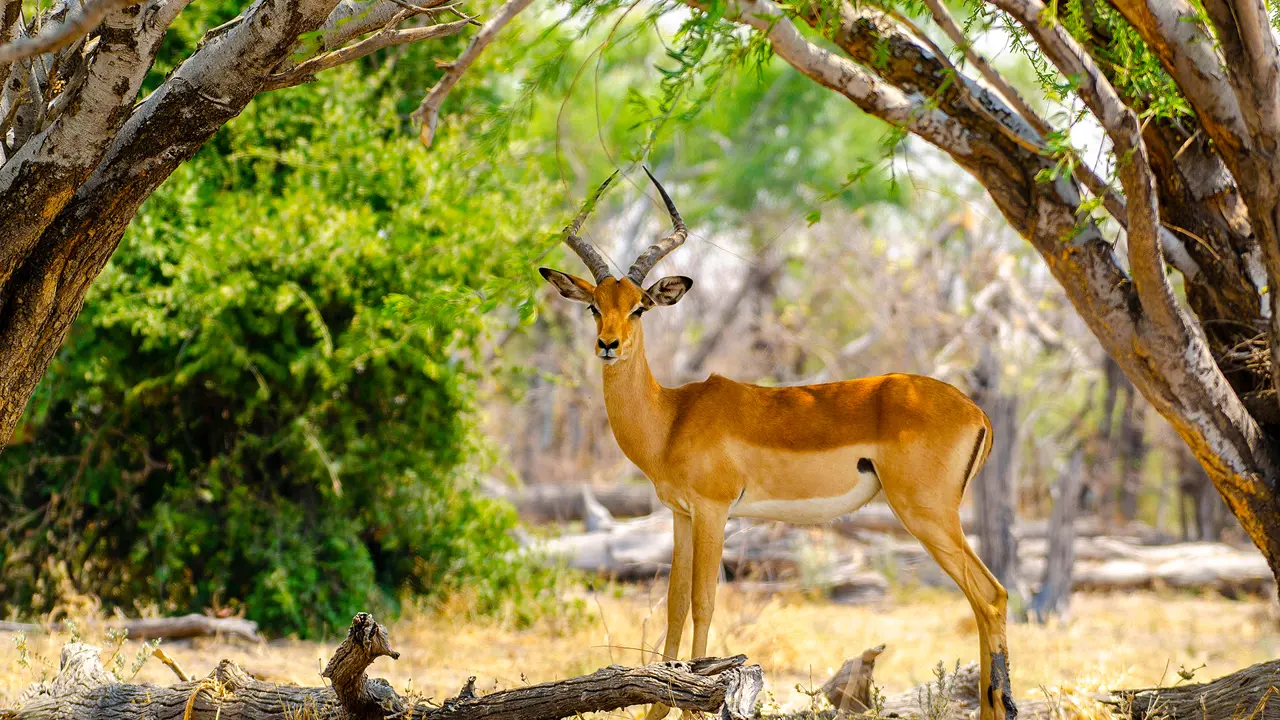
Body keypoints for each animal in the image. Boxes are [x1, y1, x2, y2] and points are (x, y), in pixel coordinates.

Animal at [538, 170, 1016, 720]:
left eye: (639, 307)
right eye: (594, 306)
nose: (608, 345)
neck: (672, 416)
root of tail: (977, 411)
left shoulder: (713, 510)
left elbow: (704, 602)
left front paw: (693, 700)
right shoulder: (681, 514)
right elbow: (675, 603)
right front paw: (660, 702)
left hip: (927, 514)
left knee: (991, 595)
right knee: (981, 600)